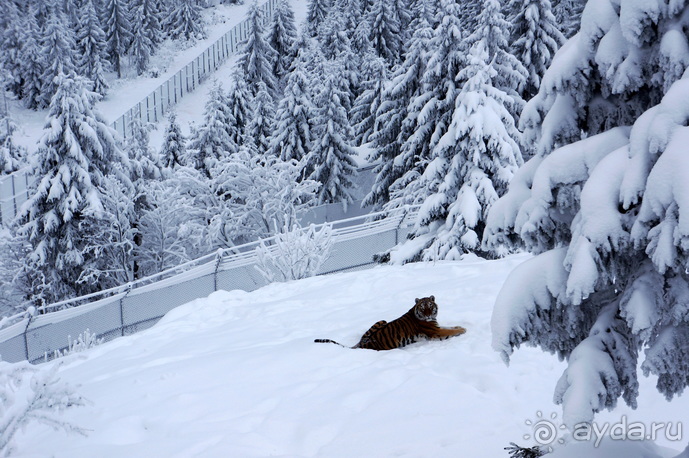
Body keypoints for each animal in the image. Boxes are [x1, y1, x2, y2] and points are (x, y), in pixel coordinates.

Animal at [314, 296, 464, 350]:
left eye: (429, 306)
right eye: (422, 308)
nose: (427, 315)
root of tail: (361, 344)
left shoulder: (437, 327)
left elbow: (449, 327)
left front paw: (459, 326)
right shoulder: (435, 331)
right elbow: (449, 331)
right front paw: (463, 330)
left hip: (382, 321)